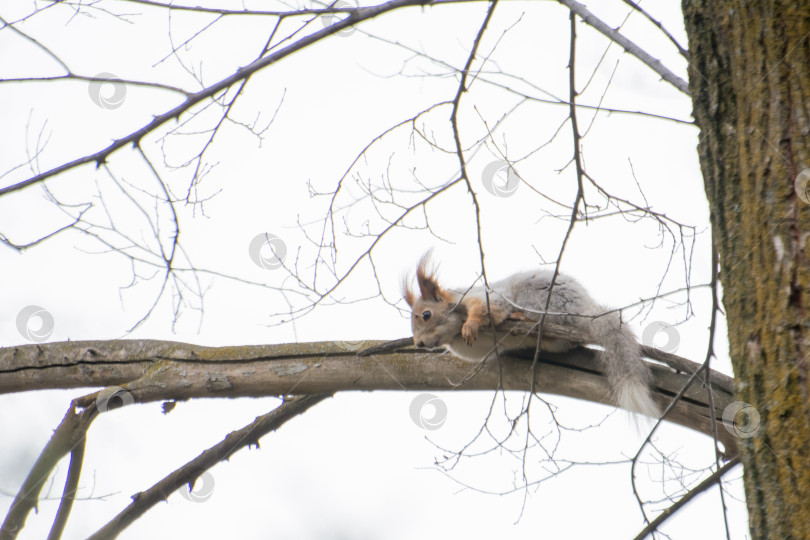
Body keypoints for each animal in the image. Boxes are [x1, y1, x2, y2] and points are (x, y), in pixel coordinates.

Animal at [400, 253, 660, 418]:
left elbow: (487, 309)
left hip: (539, 300)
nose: (419, 343)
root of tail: (584, 308)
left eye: (426, 314)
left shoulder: (488, 297)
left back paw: (524, 318)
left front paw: (470, 324)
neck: (452, 335)